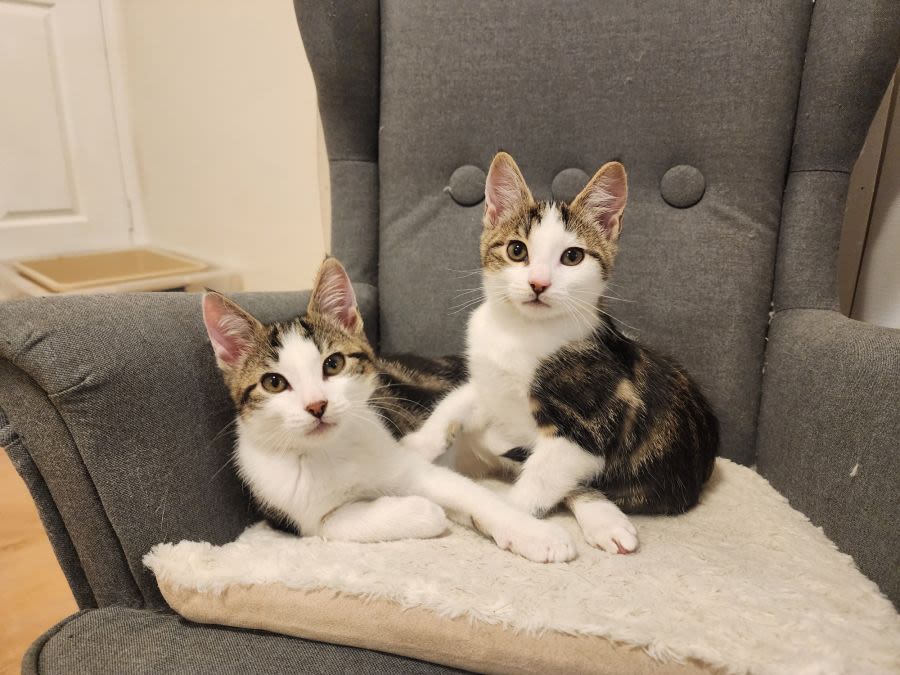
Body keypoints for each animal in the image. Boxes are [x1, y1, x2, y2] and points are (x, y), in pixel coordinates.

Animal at [202, 258, 576, 564]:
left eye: (333, 364)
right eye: (274, 382)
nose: (317, 405)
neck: (330, 451)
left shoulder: (411, 461)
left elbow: (474, 495)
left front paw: (537, 534)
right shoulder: (293, 512)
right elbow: (334, 524)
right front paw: (421, 510)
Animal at [404, 152, 720, 556]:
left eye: (572, 256)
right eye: (516, 250)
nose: (538, 284)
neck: (521, 331)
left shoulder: (586, 425)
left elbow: (542, 477)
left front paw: (515, 520)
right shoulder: (489, 384)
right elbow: (457, 401)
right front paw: (417, 443)